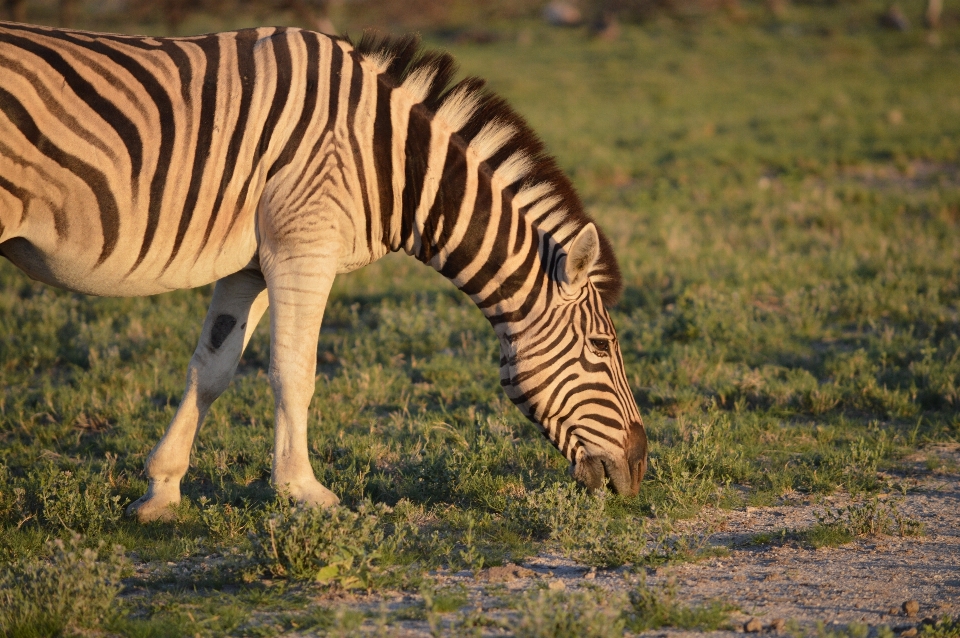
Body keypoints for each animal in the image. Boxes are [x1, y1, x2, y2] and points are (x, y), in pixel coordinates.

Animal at [0, 20, 648, 524]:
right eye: (600, 346)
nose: (641, 468)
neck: (389, 160)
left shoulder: (251, 262)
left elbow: (212, 368)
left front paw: (161, 490)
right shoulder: (303, 247)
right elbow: (294, 371)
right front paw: (303, 492)